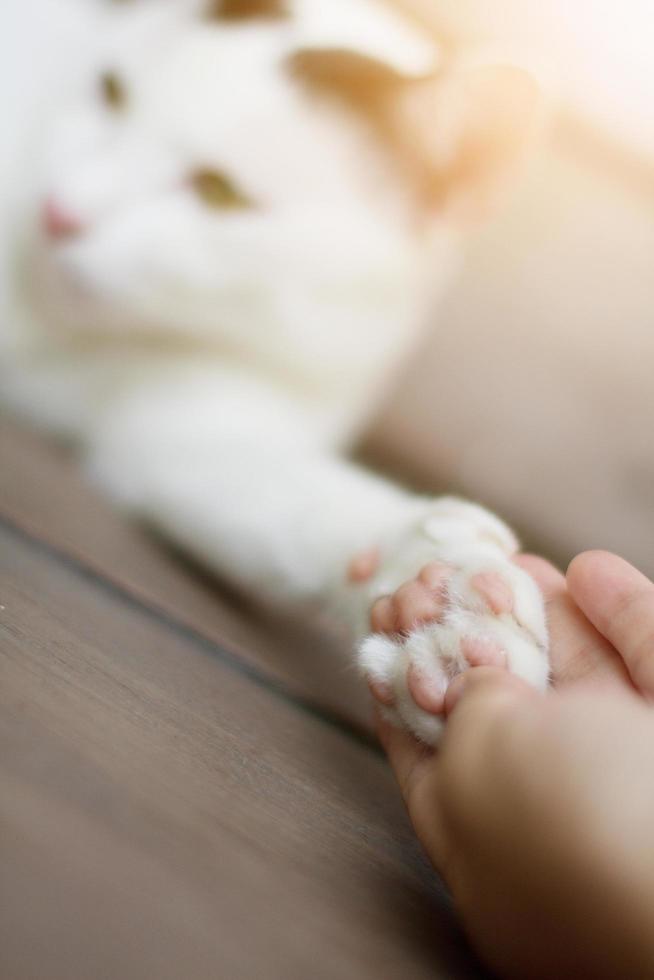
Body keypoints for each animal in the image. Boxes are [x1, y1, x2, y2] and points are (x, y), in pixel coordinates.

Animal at [0, 0, 552, 744]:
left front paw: (435, 597)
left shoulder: (192, 431)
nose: (60, 213)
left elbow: (312, 506)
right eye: (111, 91)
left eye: (219, 191)